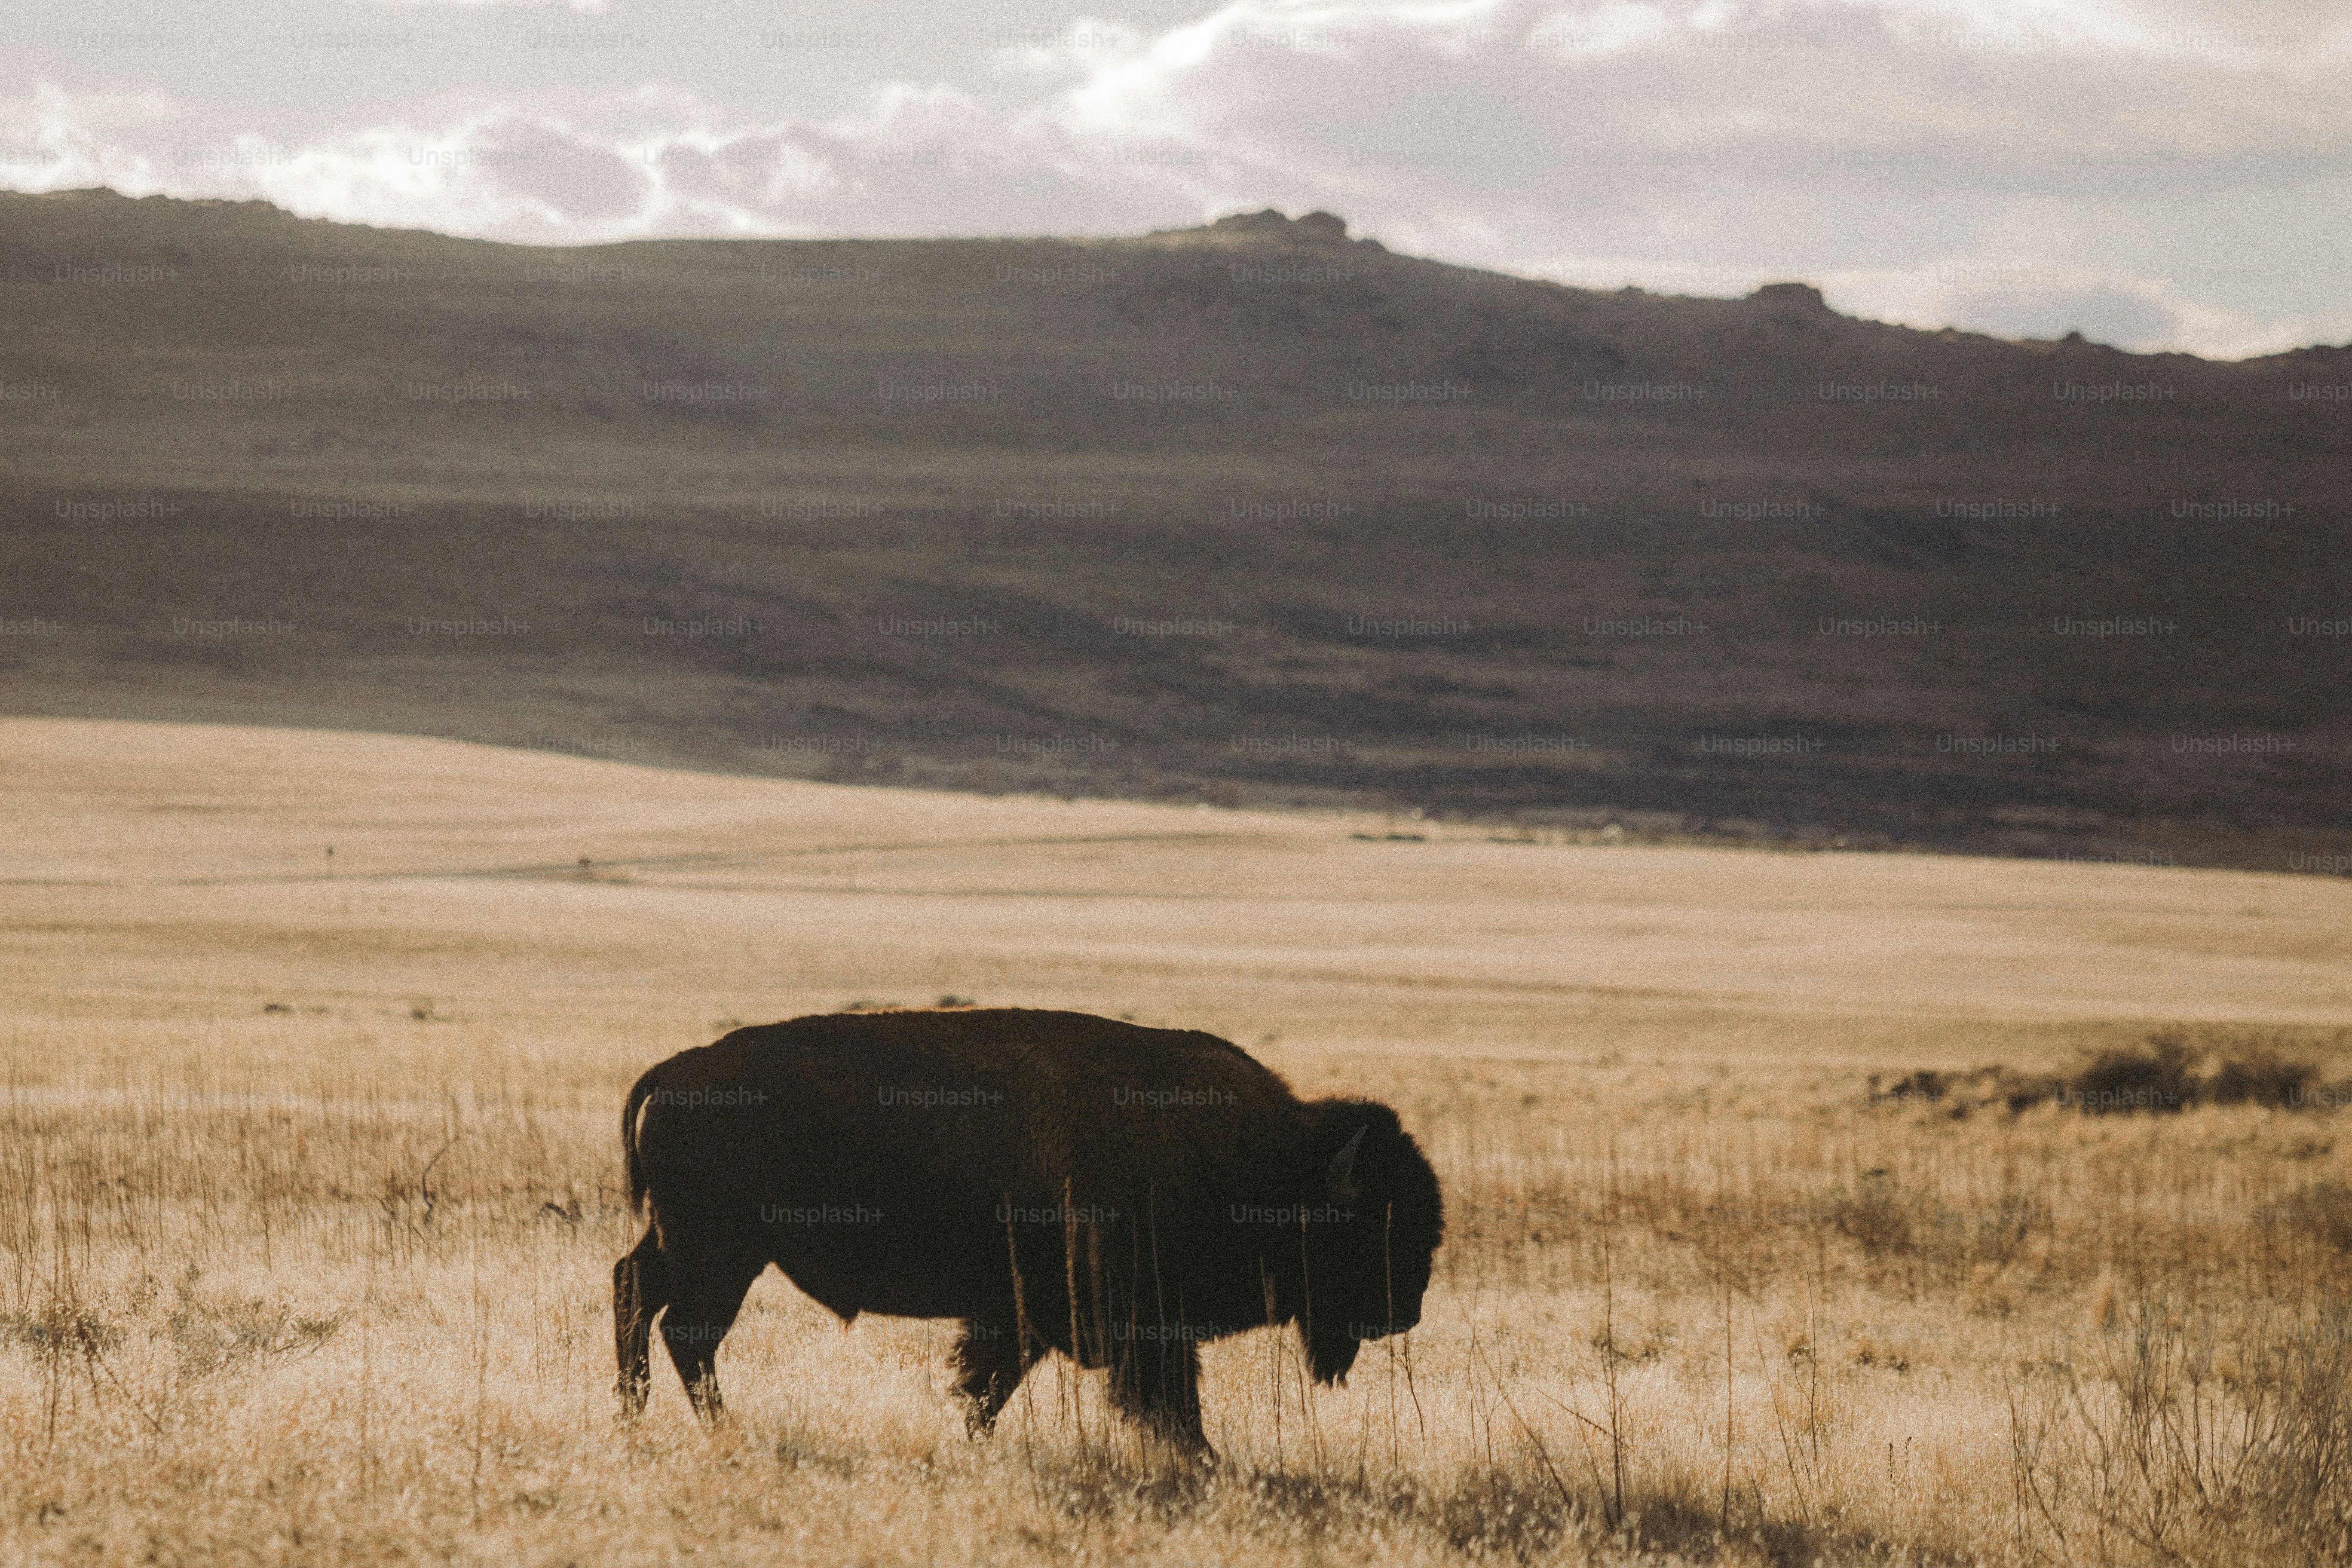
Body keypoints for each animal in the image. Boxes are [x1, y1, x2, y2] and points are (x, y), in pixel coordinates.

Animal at [614, 1007, 1444, 1455]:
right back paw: (719, 1428)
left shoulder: (1020, 1317)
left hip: (685, 1243)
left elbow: (986, 1386)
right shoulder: (1141, 1324)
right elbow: (1168, 1403)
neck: (1257, 1162)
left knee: (633, 1291)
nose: (1404, 1313)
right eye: (1371, 1229)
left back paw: (631, 1412)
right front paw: (1206, 1461)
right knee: (688, 1331)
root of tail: (681, 1068)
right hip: (723, 1252)